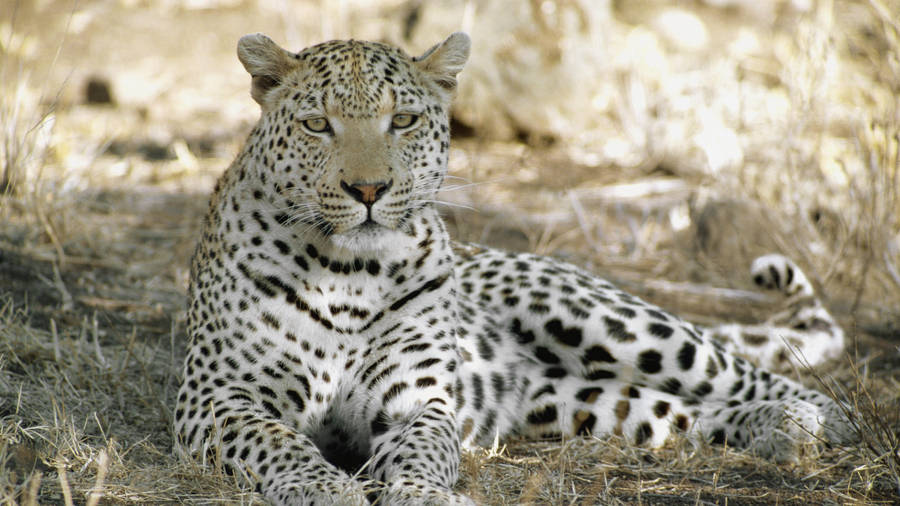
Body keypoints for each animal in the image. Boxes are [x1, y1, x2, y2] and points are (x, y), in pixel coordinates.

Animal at [174, 31, 853, 505]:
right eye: (317, 124)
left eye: (403, 120)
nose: (369, 190)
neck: (348, 271)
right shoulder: (216, 397)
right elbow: (280, 441)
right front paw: (325, 486)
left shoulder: (419, 399)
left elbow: (423, 449)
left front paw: (421, 494)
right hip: (578, 404)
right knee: (681, 413)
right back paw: (776, 429)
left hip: (608, 321)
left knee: (746, 373)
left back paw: (811, 421)